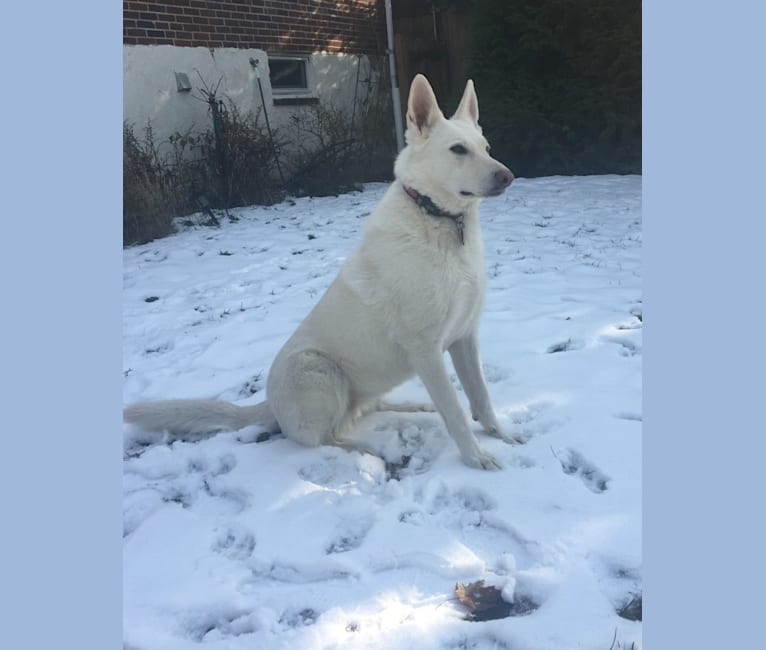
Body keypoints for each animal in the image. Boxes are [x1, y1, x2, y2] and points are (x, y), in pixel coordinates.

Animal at [126, 73, 524, 468]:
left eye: (486, 147)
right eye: (458, 150)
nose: (509, 176)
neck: (440, 222)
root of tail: (269, 405)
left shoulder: (464, 338)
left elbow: (480, 396)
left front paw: (501, 435)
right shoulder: (425, 348)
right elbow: (455, 410)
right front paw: (476, 457)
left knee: (369, 409)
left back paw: (414, 407)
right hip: (319, 371)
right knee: (321, 439)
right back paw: (370, 452)